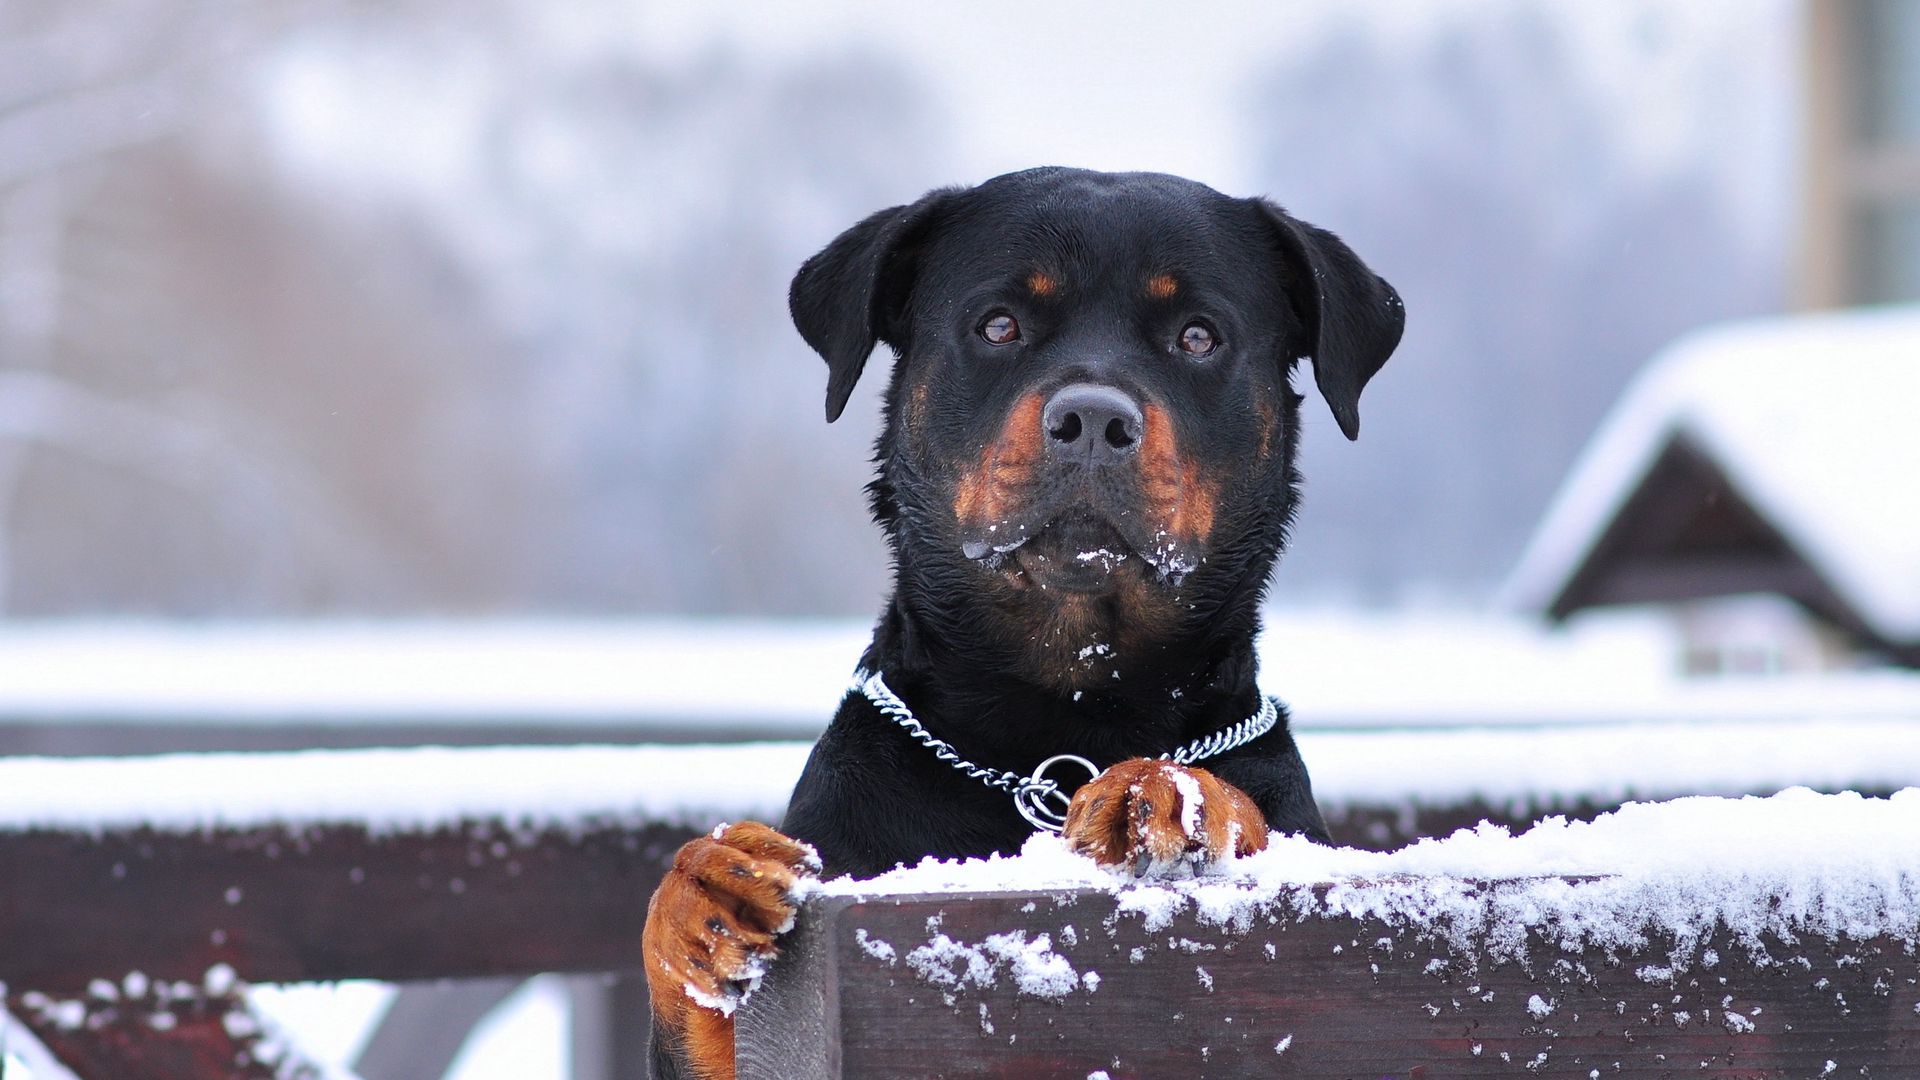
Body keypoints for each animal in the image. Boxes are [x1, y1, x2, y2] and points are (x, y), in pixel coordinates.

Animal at [637, 164, 1405, 1068]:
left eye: (1198, 337)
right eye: (999, 324)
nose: (1094, 419)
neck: (1060, 710)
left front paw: (1170, 791)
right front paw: (703, 892)